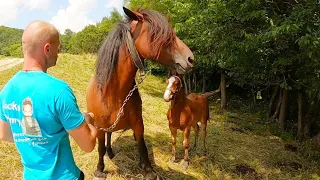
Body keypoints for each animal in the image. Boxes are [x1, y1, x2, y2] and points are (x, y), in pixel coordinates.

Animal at [86, 6, 194, 179]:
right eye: (159, 33)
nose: (190, 58)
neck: (113, 93)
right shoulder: (99, 127)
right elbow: (100, 147)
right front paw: (99, 169)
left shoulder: (138, 123)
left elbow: (141, 145)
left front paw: (148, 169)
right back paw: (110, 152)